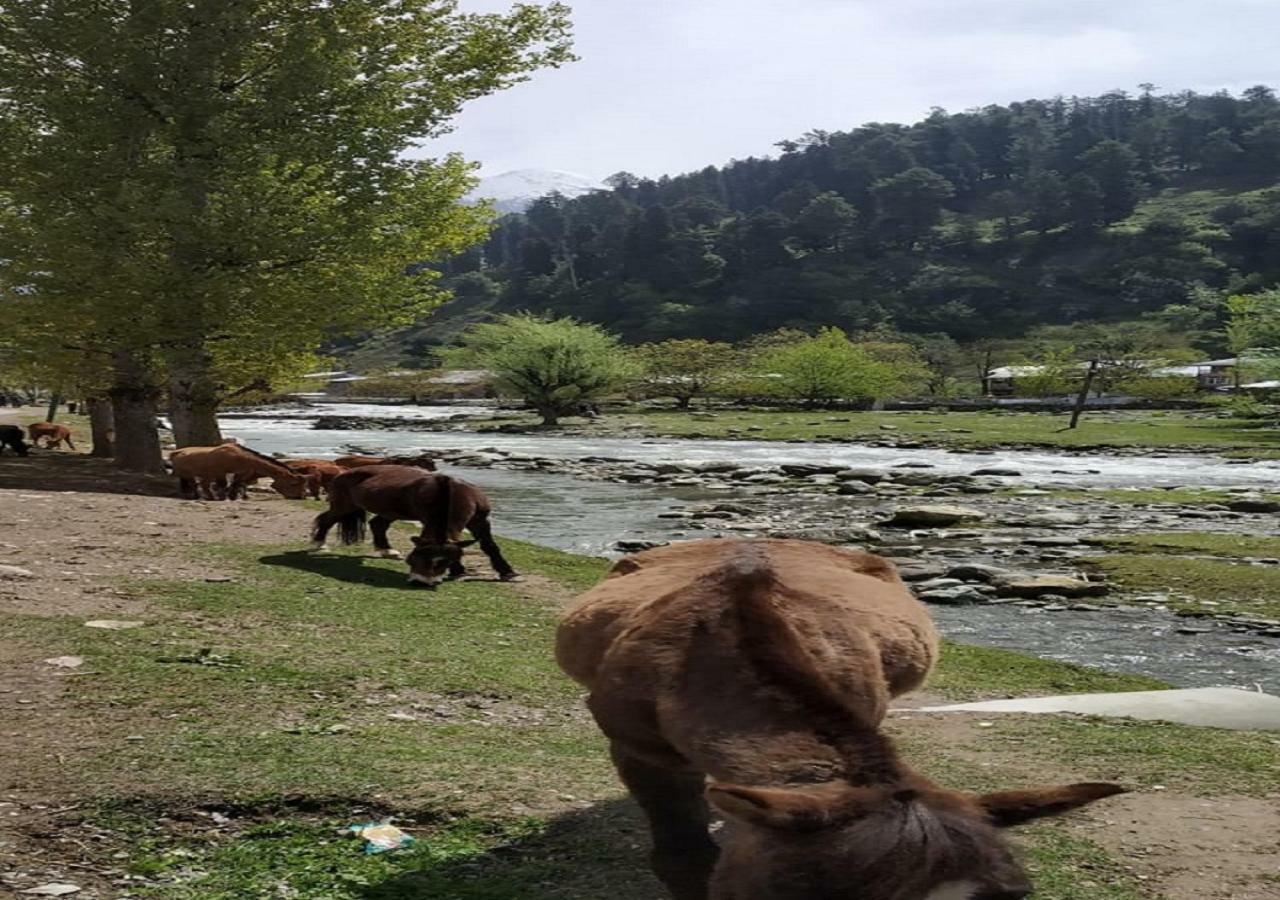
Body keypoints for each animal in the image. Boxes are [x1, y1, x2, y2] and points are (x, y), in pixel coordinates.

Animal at [170, 442, 309, 499]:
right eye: (294, 484)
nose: (300, 497)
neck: (240, 456)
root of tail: (176, 452)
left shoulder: (241, 472)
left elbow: (237, 484)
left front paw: (232, 496)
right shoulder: (221, 472)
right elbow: (225, 484)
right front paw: (224, 497)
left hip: (197, 475)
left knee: (198, 484)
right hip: (195, 474)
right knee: (199, 484)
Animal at [309, 468, 514, 588]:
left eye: (443, 563)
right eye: (414, 558)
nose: (421, 582)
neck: (452, 491)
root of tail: (342, 473)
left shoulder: (480, 520)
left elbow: (489, 546)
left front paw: (507, 572)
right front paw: (459, 570)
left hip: (388, 511)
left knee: (378, 525)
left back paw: (387, 550)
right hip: (344, 506)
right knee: (326, 519)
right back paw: (319, 544)